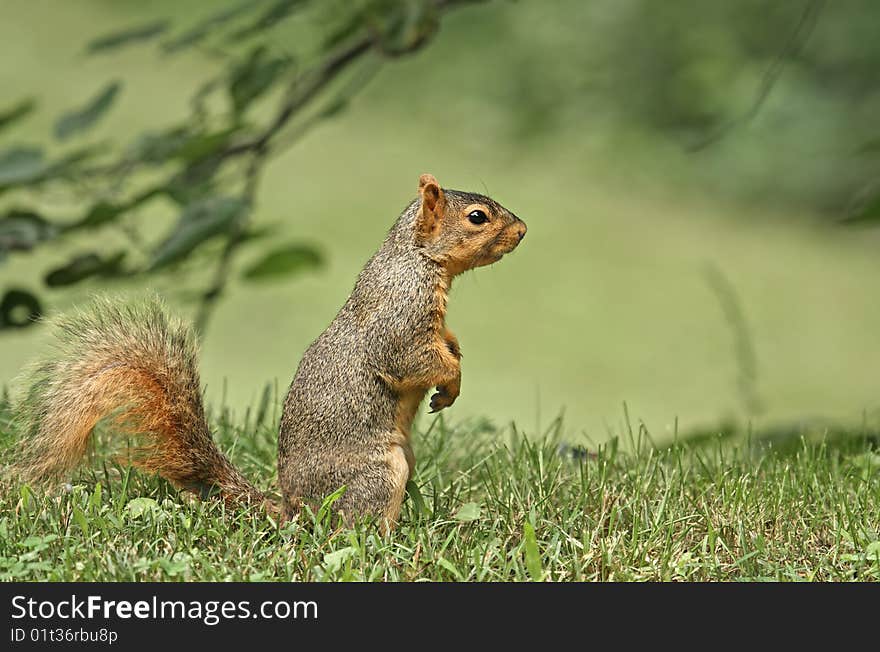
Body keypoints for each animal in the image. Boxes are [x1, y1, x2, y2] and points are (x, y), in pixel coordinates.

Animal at [10, 173, 524, 528]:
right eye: (477, 217)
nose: (522, 230)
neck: (416, 258)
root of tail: (295, 510)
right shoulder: (399, 317)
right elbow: (411, 358)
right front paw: (451, 379)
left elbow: (444, 343)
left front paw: (455, 358)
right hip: (378, 474)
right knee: (351, 527)